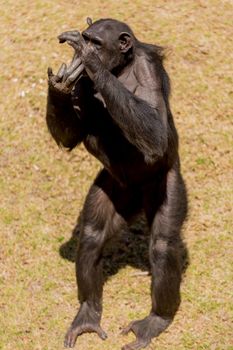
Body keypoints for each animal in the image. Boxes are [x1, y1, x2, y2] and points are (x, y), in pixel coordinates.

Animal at [45, 18, 187, 350]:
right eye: (89, 37)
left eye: (96, 43)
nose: (85, 47)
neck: (120, 69)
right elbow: (70, 136)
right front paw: (60, 83)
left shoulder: (148, 69)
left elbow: (156, 134)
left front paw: (90, 61)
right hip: (115, 189)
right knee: (92, 235)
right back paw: (87, 314)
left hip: (165, 182)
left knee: (163, 244)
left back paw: (156, 320)